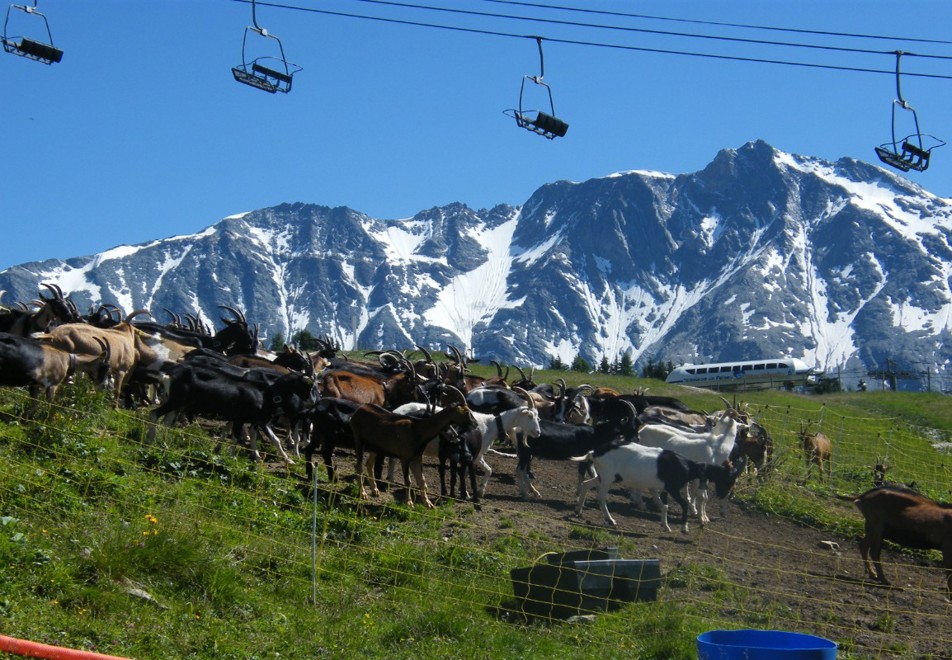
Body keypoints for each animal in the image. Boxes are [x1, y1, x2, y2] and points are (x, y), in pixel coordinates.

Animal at [572, 444, 744, 532]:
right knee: (601, 497)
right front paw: (684, 527)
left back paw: (578, 511)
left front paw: (665, 526)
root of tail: (594, 453)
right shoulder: (673, 488)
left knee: (586, 484)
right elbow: (684, 504)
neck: (686, 466)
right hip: (607, 478)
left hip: (604, 476)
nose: (722, 495)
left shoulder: (662, 489)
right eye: (729, 480)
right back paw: (611, 520)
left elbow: (665, 506)